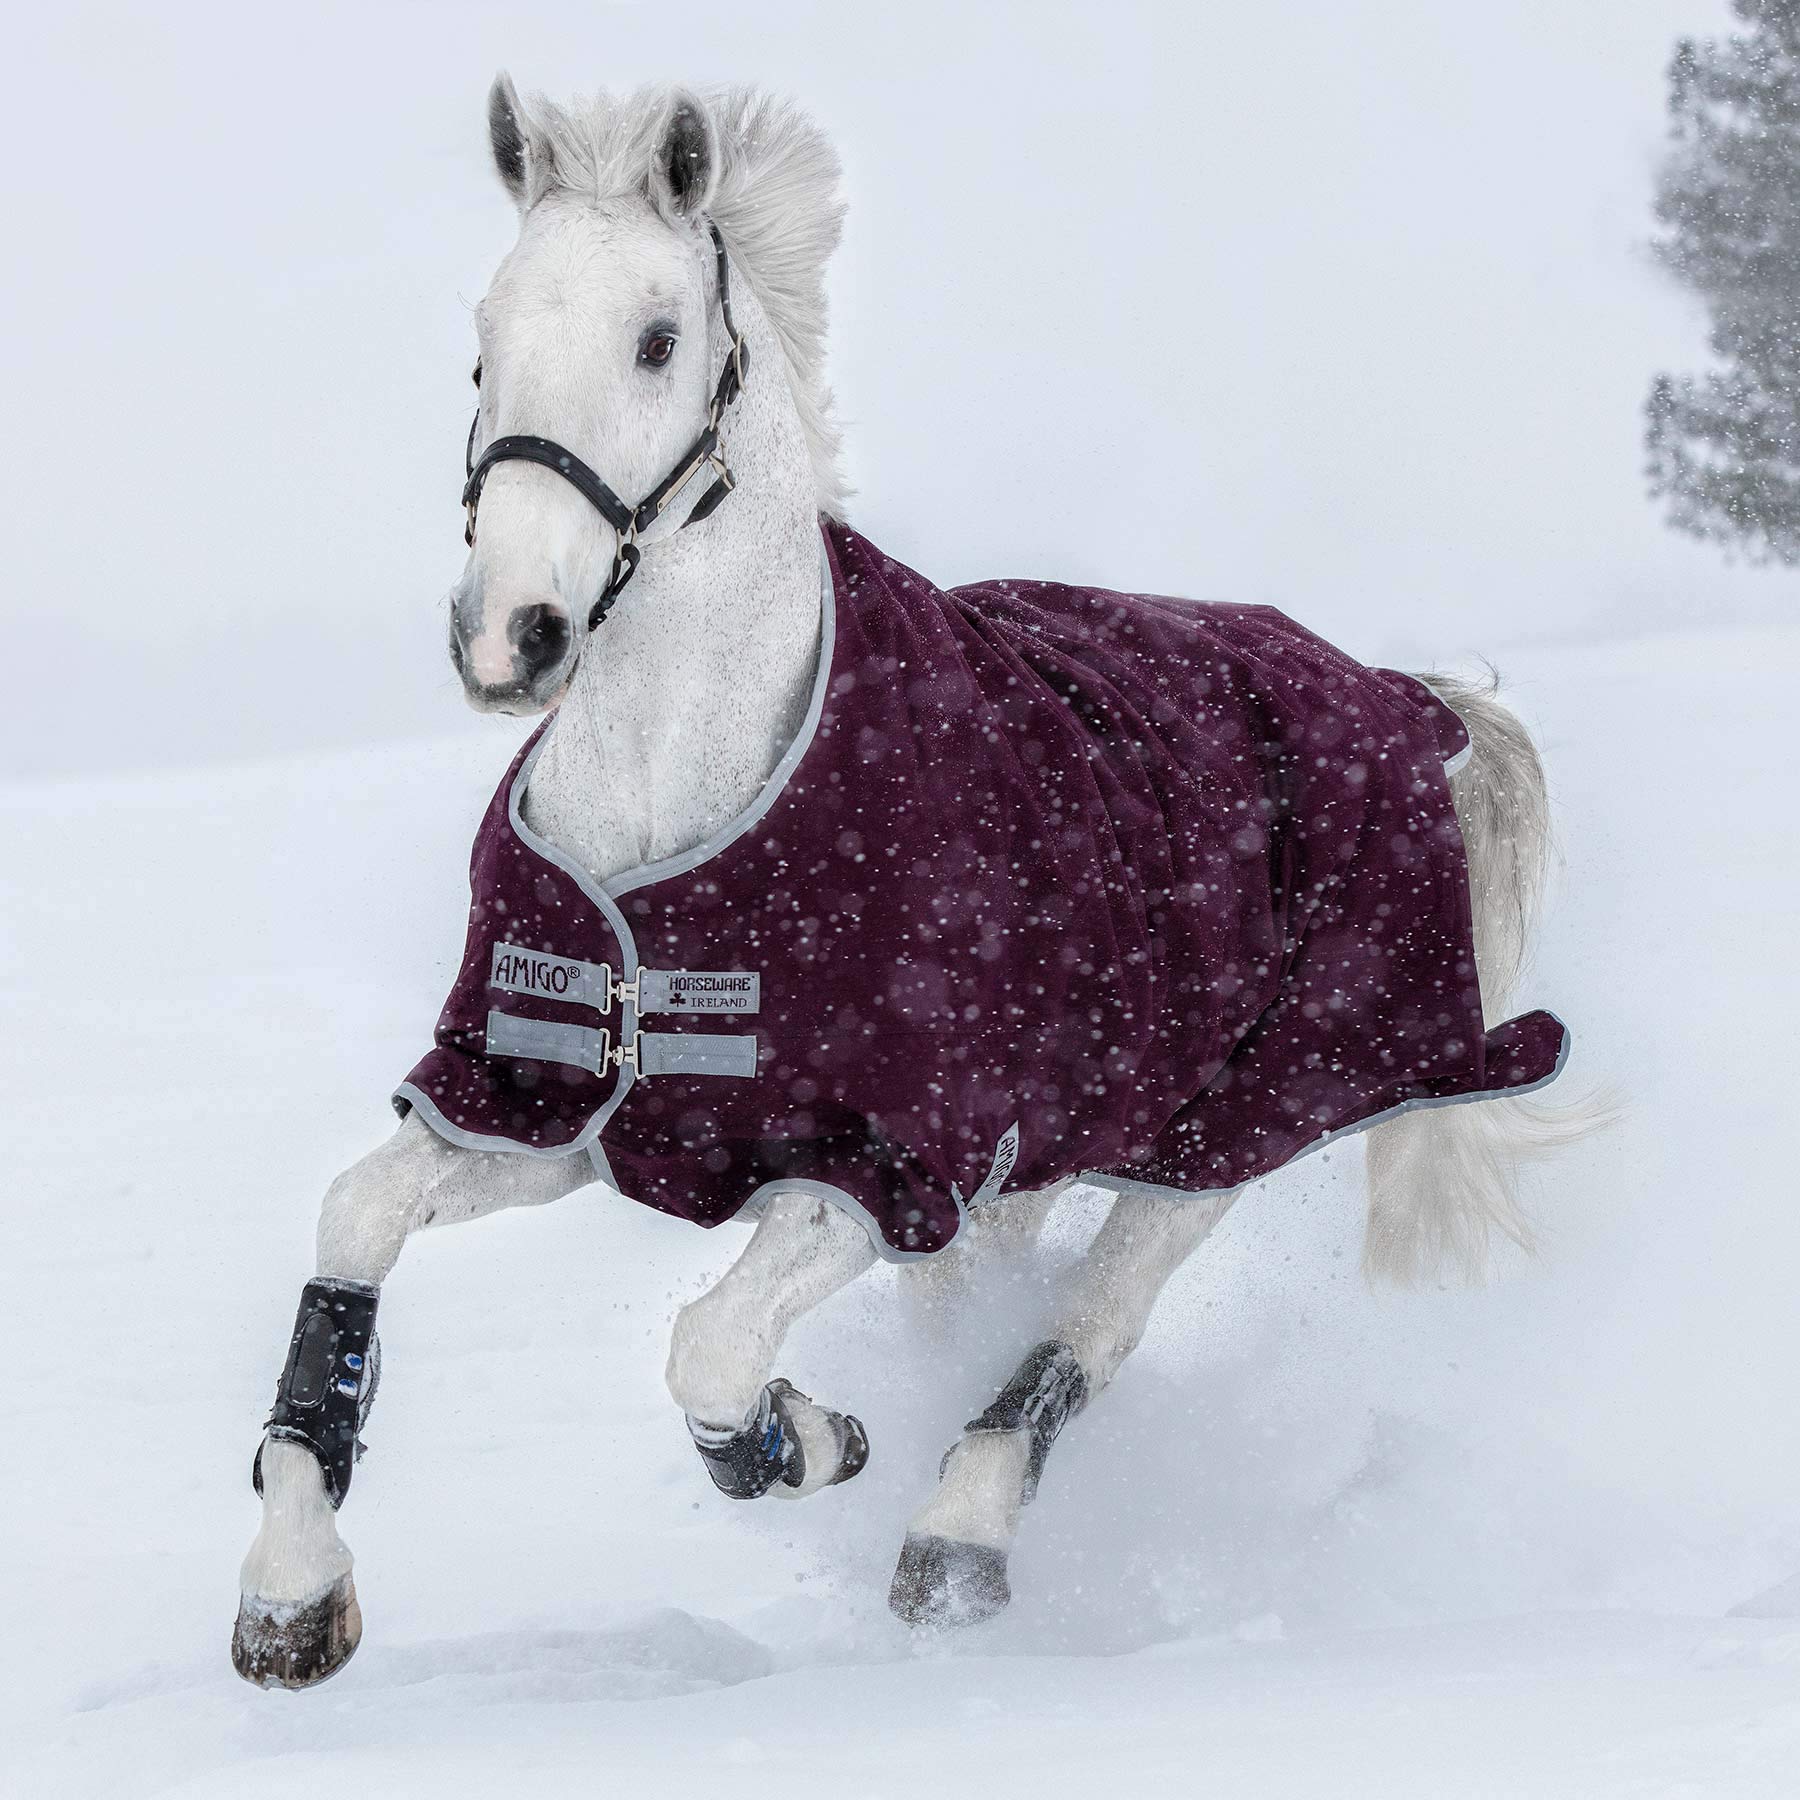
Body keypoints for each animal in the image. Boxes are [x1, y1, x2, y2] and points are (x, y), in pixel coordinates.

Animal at [232, 78, 1580, 1689]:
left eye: (658, 339)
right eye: (484, 334)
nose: (513, 635)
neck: (669, 831)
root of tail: (1403, 696)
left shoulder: (881, 1163)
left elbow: (714, 1350)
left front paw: (805, 1441)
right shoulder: (544, 1105)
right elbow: (354, 1219)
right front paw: (291, 1595)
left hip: (1229, 1130)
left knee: (1089, 1332)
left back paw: (956, 1542)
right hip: (1032, 1167)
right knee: (982, 1312)